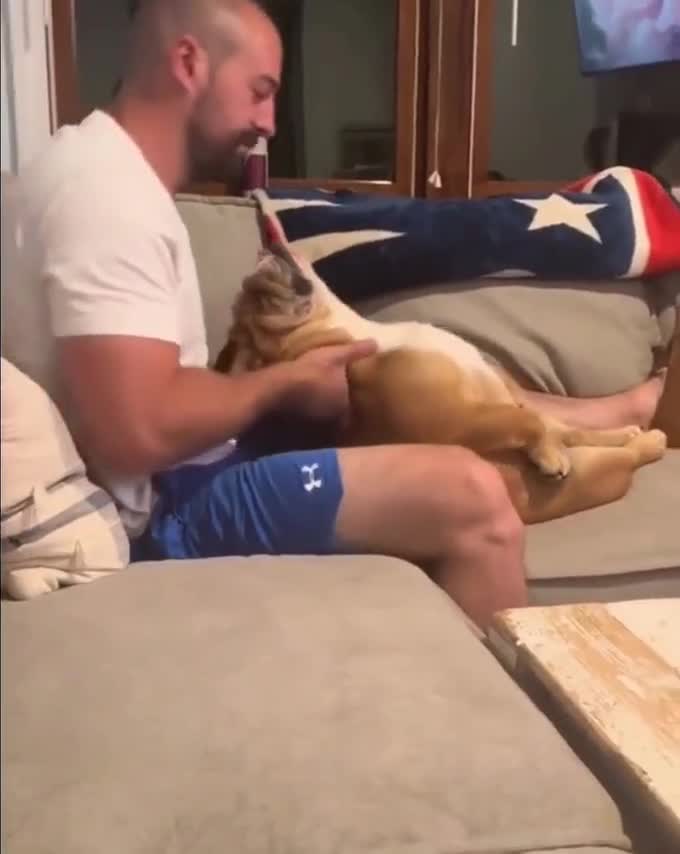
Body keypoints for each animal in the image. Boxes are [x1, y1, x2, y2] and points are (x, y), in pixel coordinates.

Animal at [215, 247, 667, 524]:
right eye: (262, 302)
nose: (263, 254)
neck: (356, 330)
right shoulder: (456, 420)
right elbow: (525, 423)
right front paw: (549, 455)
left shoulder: (502, 394)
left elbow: (542, 421)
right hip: (604, 470)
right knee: (619, 453)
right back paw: (642, 442)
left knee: (573, 429)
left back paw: (623, 432)